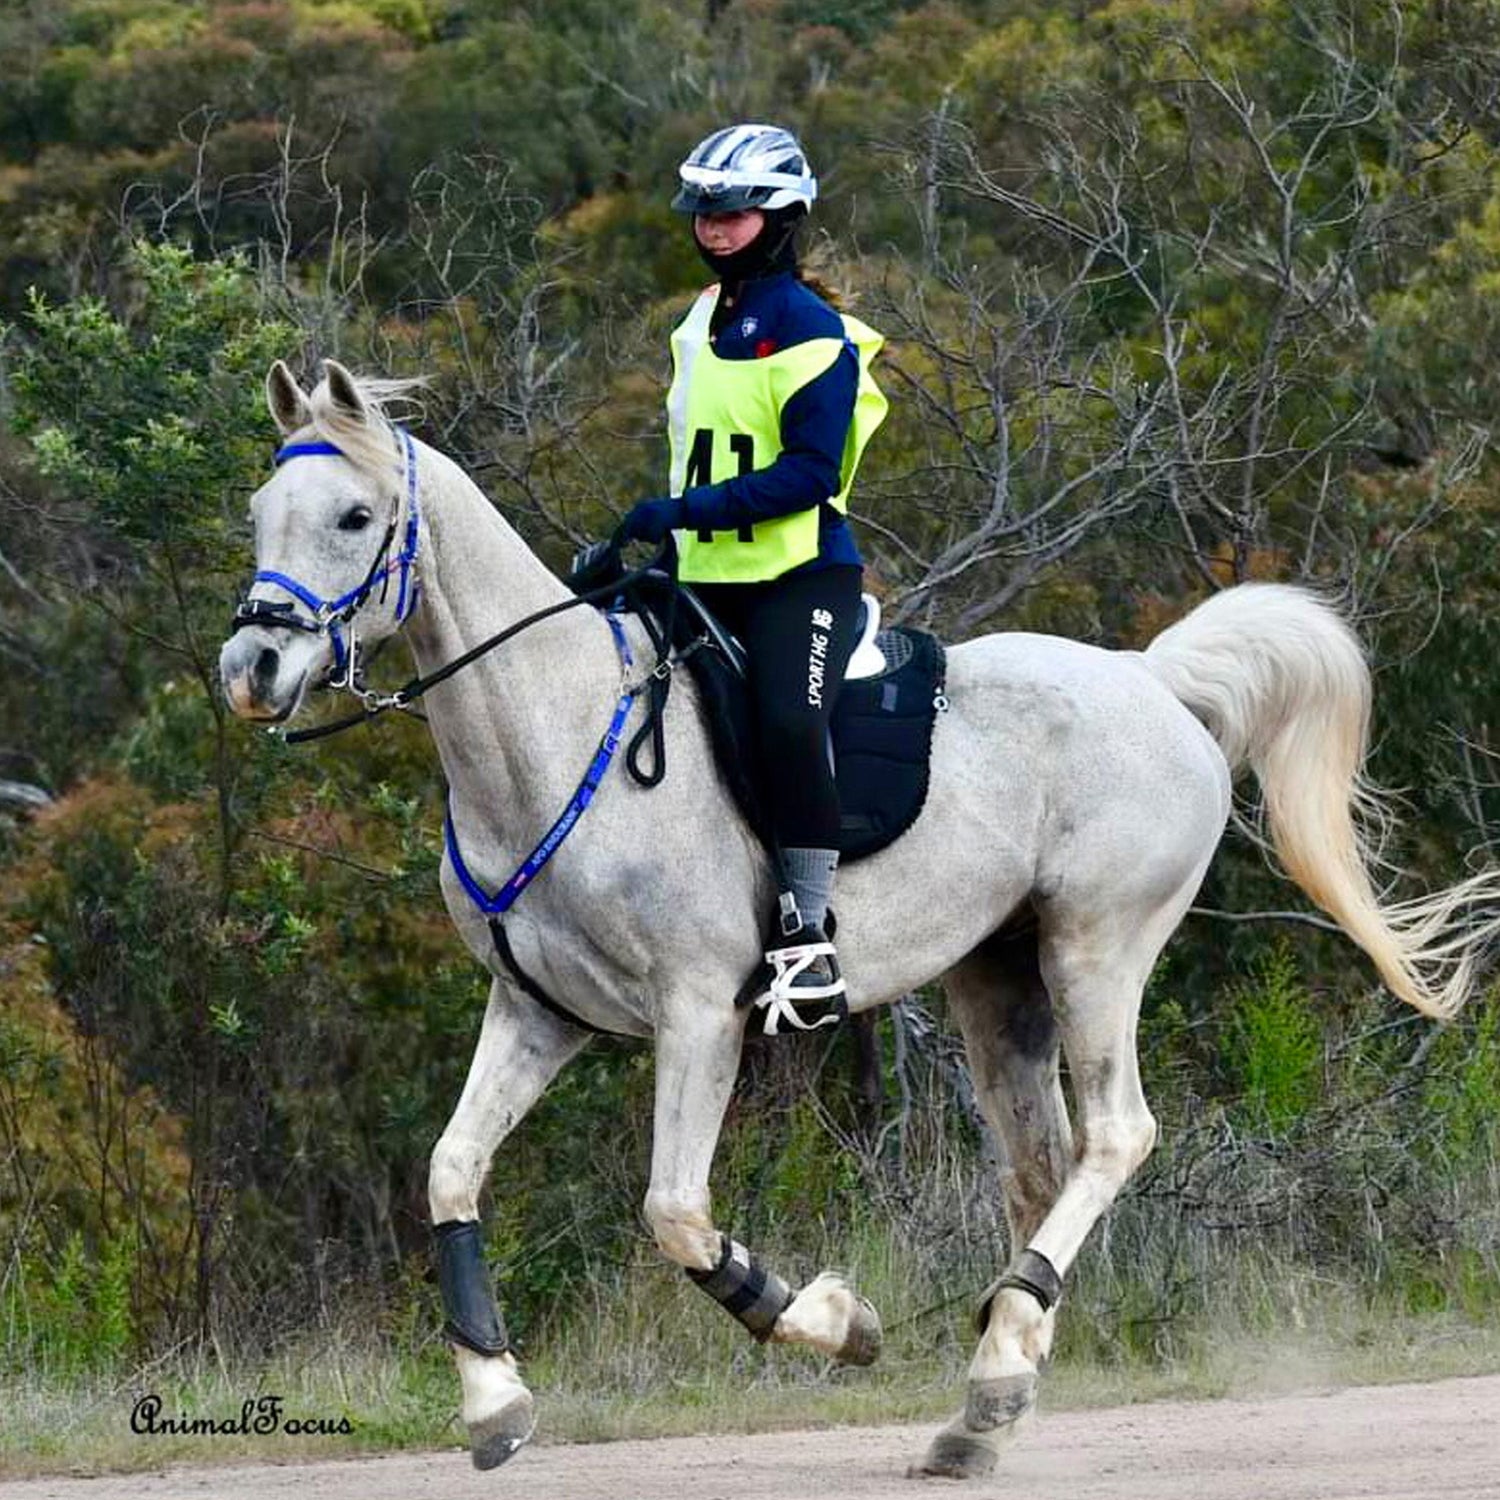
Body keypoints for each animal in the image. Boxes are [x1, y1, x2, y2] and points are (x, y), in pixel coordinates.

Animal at [219, 359, 1500, 1479]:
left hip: (1097, 948)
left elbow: (675, 1213)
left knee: (1117, 1137)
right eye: (261, 512)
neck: (555, 728)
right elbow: (451, 1172)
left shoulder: (699, 1014)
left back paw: (995, 1366)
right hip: (999, 980)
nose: (252, 668)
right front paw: (494, 1403)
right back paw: (989, 1400)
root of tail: (1152, 679)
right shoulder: (537, 1014)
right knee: (1041, 1170)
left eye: (353, 515)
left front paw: (838, 1324)